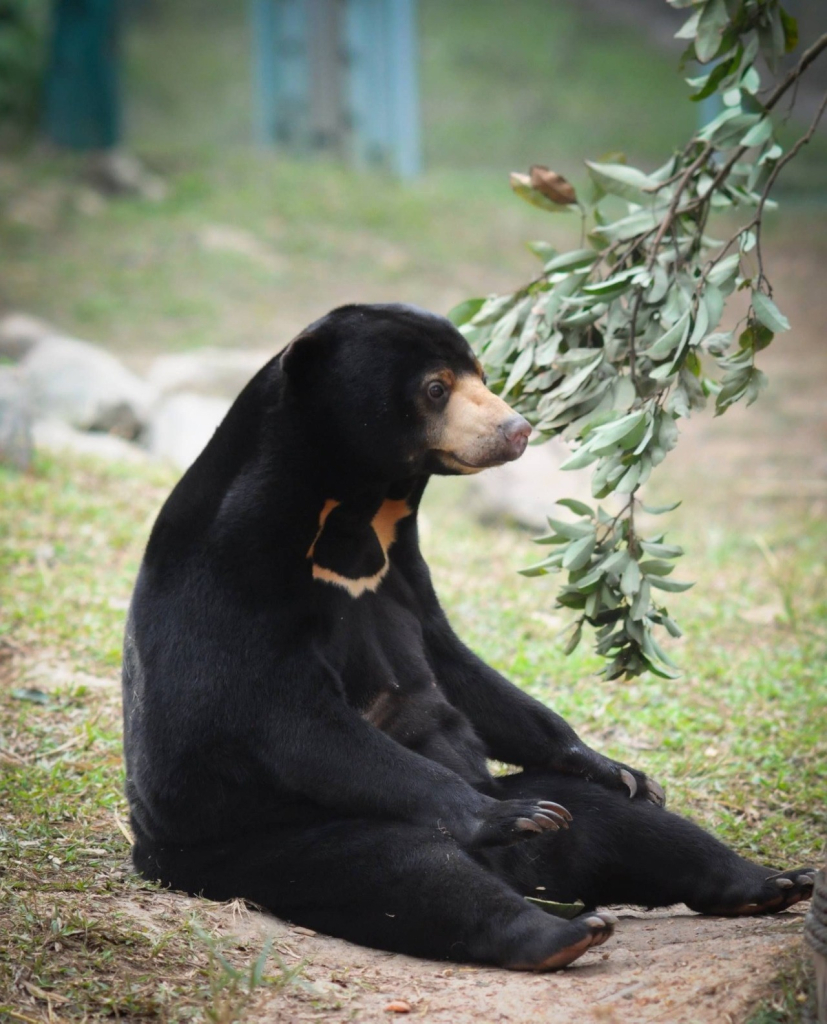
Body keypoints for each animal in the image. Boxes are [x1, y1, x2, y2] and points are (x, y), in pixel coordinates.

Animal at [122, 301, 814, 966]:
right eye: (435, 388)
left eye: (482, 373)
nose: (519, 430)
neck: (352, 511)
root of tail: (527, 876)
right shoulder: (238, 575)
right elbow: (292, 719)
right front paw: (498, 814)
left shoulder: (403, 570)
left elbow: (459, 668)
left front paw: (618, 767)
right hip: (265, 842)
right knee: (405, 866)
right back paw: (553, 917)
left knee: (628, 825)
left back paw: (768, 882)